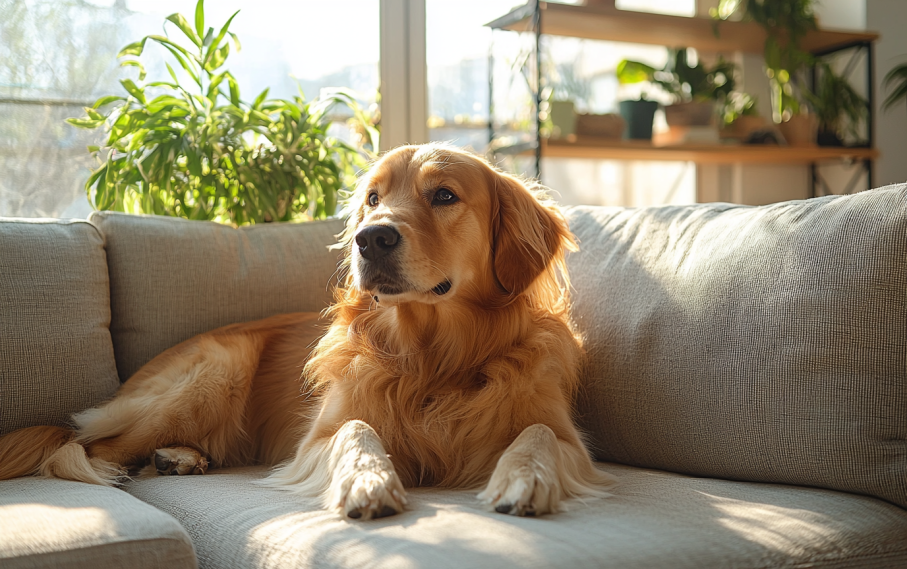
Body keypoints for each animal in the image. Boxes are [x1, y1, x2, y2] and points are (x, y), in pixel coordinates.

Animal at [0, 143, 616, 520]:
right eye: (373, 198)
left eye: (444, 195)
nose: (370, 238)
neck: (432, 356)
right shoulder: (318, 436)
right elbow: (356, 431)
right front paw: (369, 481)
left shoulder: (565, 435)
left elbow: (536, 435)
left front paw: (523, 481)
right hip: (212, 370)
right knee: (81, 445)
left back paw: (181, 457)